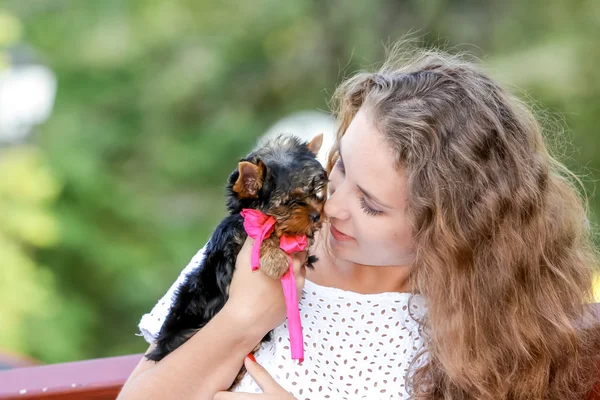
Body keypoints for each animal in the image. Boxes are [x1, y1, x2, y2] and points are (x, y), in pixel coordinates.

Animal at [148, 134, 330, 384]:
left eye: (315, 192)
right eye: (289, 202)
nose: (316, 215)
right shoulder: (234, 242)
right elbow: (260, 234)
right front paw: (276, 258)